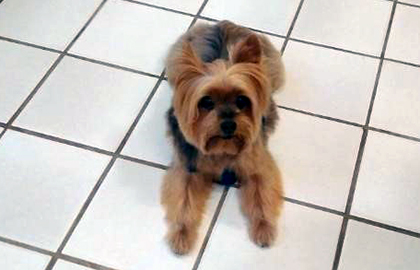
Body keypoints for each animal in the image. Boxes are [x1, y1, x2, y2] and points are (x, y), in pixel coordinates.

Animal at [161, 20, 286, 254]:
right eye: (207, 102)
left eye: (242, 100)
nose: (229, 124)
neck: (222, 148)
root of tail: (225, 24)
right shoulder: (188, 166)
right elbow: (184, 201)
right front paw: (182, 234)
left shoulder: (257, 162)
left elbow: (262, 194)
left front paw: (263, 228)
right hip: (173, 63)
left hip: (272, 68)